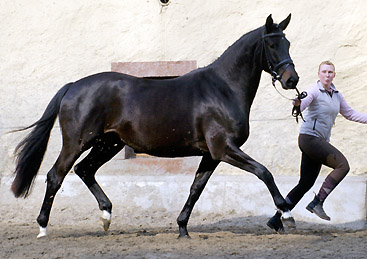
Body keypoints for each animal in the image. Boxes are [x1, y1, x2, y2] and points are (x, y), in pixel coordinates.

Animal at [10, 13, 300, 238]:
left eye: (287, 42)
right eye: (272, 44)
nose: (292, 79)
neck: (222, 88)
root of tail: (73, 87)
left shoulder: (211, 155)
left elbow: (196, 188)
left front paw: (182, 228)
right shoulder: (223, 149)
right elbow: (264, 172)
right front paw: (285, 213)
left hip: (109, 144)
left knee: (85, 170)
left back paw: (106, 215)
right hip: (78, 142)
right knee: (56, 175)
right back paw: (43, 228)